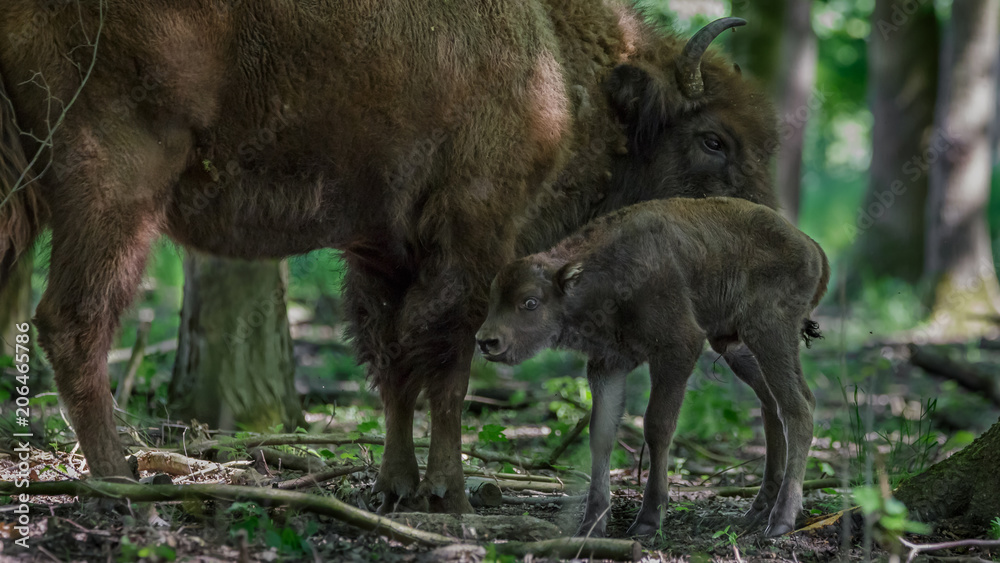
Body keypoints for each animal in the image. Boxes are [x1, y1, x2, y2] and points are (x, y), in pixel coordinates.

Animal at [0, 0, 777, 514]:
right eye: (713, 139)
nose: (764, 223)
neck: (558, 61)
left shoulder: (385, 253)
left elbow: (395, 365)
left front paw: (397, 483)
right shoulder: (472, 237)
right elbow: (449, 366)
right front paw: (449, 491)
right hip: (115, 188)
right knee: (74, 319)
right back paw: (119, 478)